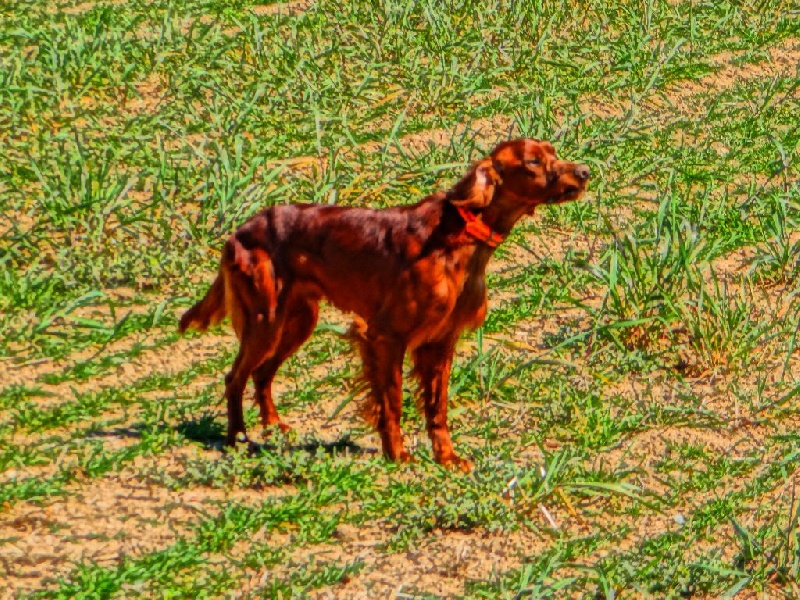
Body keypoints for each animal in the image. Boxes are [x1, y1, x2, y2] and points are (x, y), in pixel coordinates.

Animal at [180, 138, 588, 472]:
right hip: (265, 319)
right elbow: (392, 402)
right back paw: (238, 439)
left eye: (553, 154)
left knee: (262, 374)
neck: (460, 238)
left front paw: (447, 458)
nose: (585, 172)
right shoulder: (386, 337)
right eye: (533, 161)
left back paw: (274, 427)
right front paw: (398, 455)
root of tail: (241, 229)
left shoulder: (440, 343)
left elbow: (437, 409)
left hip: (297, 320)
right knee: (235, 377)